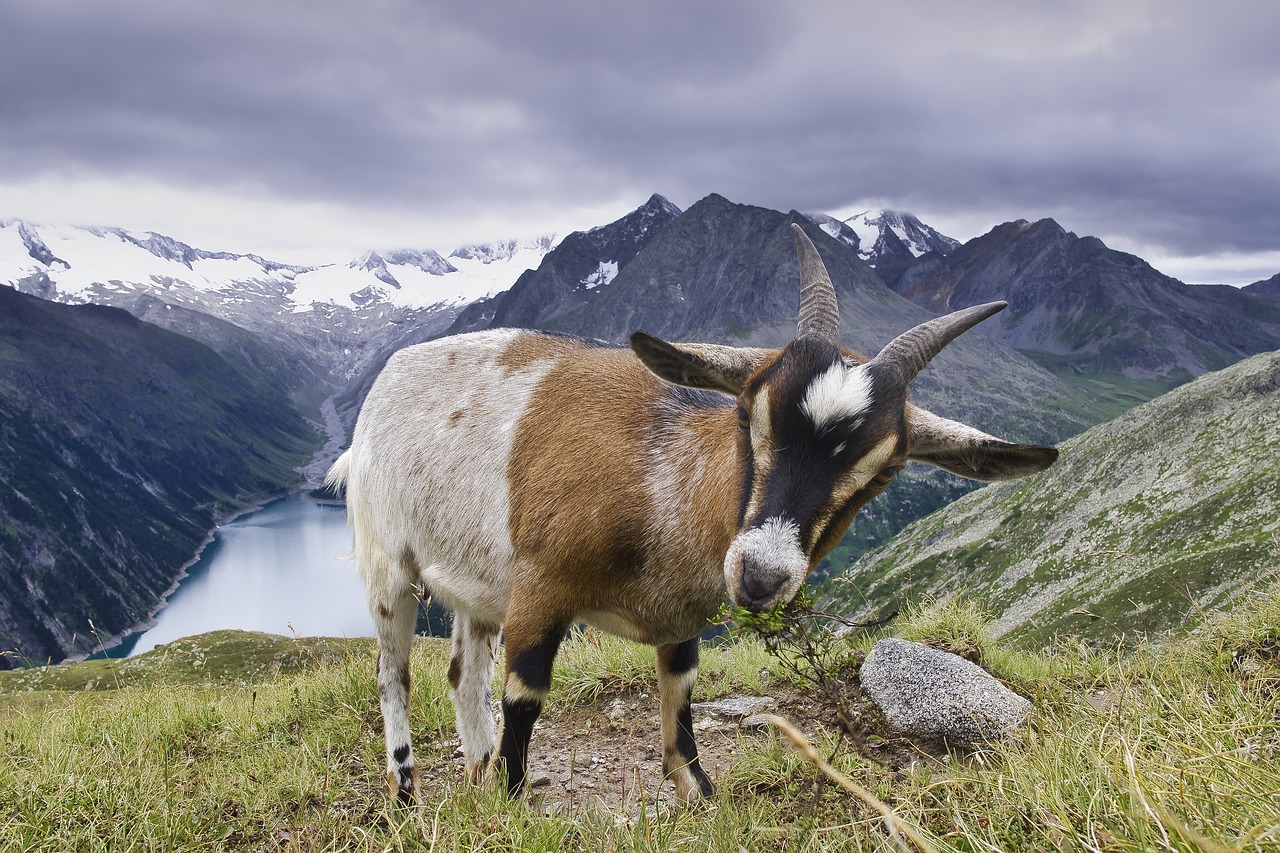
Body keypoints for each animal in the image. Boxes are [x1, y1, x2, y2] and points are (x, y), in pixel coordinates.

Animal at [327, 222, 1059, 799]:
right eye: (747, 414)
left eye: (883, 474)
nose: (761, 576)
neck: (659, 484)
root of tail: (389, 373)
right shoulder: (541, 590)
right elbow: (526, 697)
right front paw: (510, 803)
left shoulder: (681, 621)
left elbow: (679, 700)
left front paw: (696, 793)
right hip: (389, 563)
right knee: (394, 675)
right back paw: (406, 790)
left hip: (474, 582)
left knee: (461, 672)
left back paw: (474, 768)